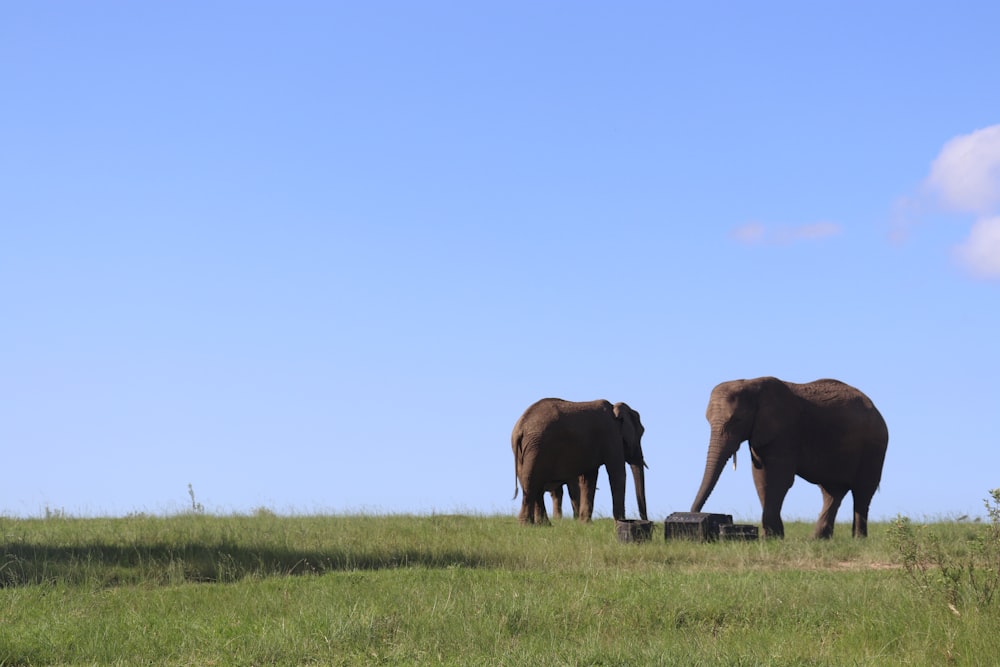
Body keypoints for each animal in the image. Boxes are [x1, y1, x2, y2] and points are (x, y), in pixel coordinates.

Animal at [512, 400, 644, 524]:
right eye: (641, 433)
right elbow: (617, 473)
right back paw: (529, 525)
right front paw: (619, 522)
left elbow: (589, 478)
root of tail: (520, 427)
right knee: (533, 481)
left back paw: (542, 525)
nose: (644, 520)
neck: (614, 408)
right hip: (537, 448)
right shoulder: (611, 435)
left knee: (532, 483)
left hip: (526, 450)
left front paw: (585, 524)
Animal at [692, 378, 888, 540]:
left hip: (874, 447)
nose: (697, 516)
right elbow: (761, 478)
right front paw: (773, 537)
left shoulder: (786, 430)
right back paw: (818, 539)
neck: (751, 384)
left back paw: (858, 539)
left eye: (737, 420)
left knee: (862, 491)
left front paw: (771, 538)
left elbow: (779, 478)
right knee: (832, 492)